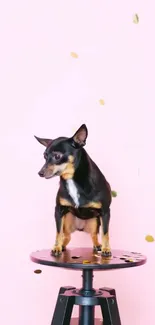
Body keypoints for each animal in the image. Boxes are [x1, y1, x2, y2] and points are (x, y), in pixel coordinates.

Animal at [34, 123, 112, 256]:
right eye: (44, 156)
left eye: (57, 156)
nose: (40, 173)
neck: (71, 179)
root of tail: (80, 226)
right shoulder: (58, 211)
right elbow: (58, 232)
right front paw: (56, 247)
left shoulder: (105, 212)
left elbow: (105, 233)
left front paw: (107, 249)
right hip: (67, 221)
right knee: (67, 236)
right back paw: (62, 246)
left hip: (95, 222)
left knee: (94, 235)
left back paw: (98, 246)